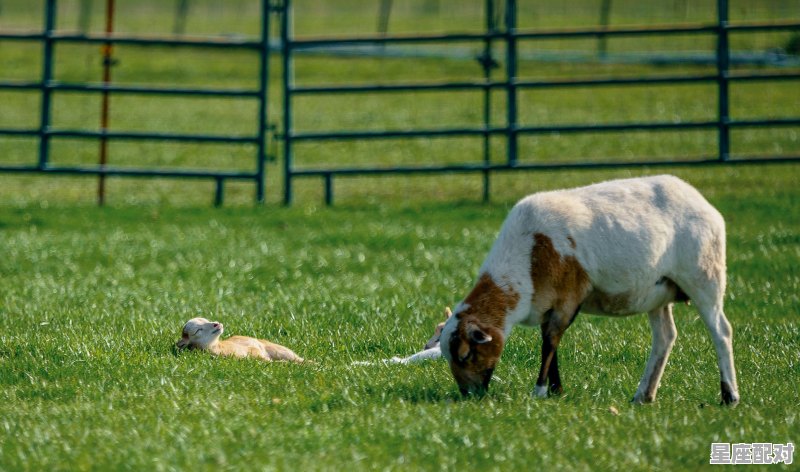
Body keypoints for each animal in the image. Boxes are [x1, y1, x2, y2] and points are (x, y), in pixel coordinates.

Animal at [440, 175, 740, 404]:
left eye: (465, 354)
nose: (469, 395)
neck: (525, 260)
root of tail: (700, 200)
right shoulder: (549, 305)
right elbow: (551, 346)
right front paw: (556, 390)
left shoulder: (568, 298)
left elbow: (549, 343)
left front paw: (540, 391)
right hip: (657, 292)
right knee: (665, 337)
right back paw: (643, 396)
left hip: (704, 275)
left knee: (721, 331)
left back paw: (729, 396)